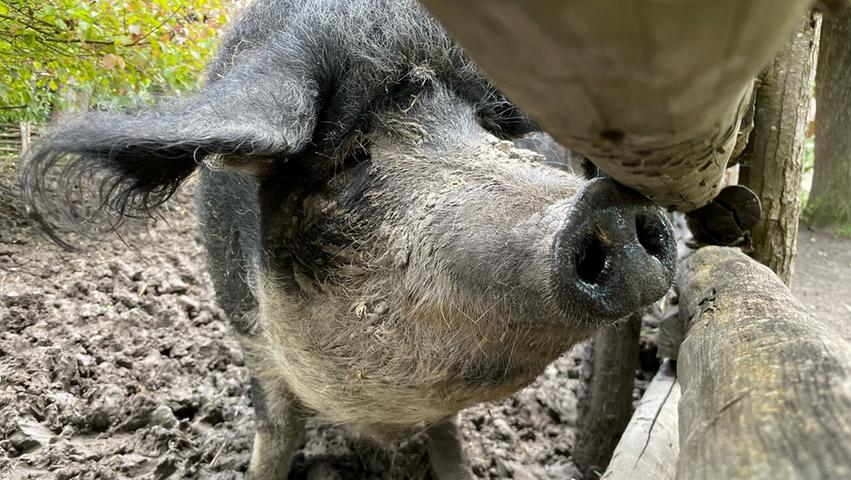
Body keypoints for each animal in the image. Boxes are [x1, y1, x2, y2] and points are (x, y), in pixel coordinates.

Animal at [20, 0, 680, 476]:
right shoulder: (245, 326)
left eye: (492, 127)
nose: (604, 204)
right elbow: (275, 431)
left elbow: (447, 430)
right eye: (350, 158)